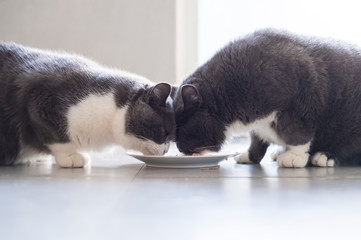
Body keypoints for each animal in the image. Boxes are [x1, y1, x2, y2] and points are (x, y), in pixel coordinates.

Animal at [174, 29, 361, 167]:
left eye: (181, 130)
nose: (179, 148)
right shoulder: (257, 125)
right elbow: (256, 141)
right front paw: (250, 156)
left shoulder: (299, 105)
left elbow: (298, 134)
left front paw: (294, 156)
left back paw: (324, 156)